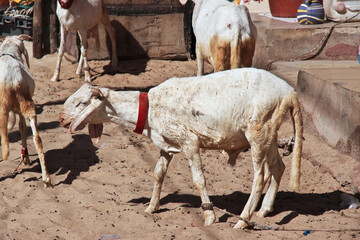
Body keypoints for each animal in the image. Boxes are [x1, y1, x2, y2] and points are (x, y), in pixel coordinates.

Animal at [0, 35, 52, 188]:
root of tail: (7, 80)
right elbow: (22, 128)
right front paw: (26, 158)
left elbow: (22, 128)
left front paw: (25, 158)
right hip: (27, 104)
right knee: (37, 139)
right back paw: (46, 178)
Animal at [60, 67, 302, 229]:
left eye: (82, 103)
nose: (61, 119)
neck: (150, 109)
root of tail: (290, 92)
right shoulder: (167, 144)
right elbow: (158, 173)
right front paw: (152, 207)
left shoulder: (190, 143)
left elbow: (198, 180)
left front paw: (209, 216)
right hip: (270, 132)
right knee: (278, 167)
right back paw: (264, 209)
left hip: (258, 131)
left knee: (260, 177)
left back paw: (243, 221)